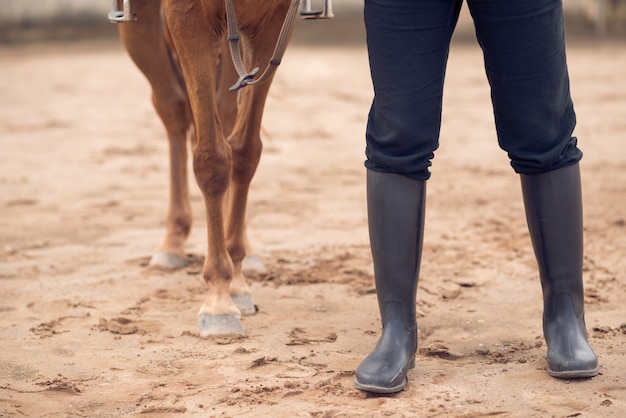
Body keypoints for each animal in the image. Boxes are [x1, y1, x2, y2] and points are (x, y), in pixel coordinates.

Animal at [109, 0, 330, 334]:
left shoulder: (275, 20)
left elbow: (244, 151)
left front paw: (236, 278)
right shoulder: (188, 17)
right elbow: (211, 158)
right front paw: (218, 300)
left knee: (223, 114)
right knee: (173, 107)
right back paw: (172, 243)